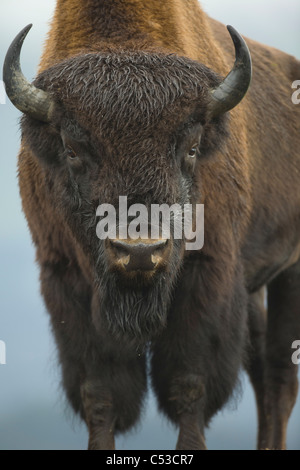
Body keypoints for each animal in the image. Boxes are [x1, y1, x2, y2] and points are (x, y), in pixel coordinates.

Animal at [2, 0, 300, 450]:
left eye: (191, 147)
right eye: (72, 149)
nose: (139, 252)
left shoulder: (209, 275)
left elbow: (189, 384)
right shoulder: (67, 280)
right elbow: (100, 391)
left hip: (289, 270)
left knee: (280, 373)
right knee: (265, 369)